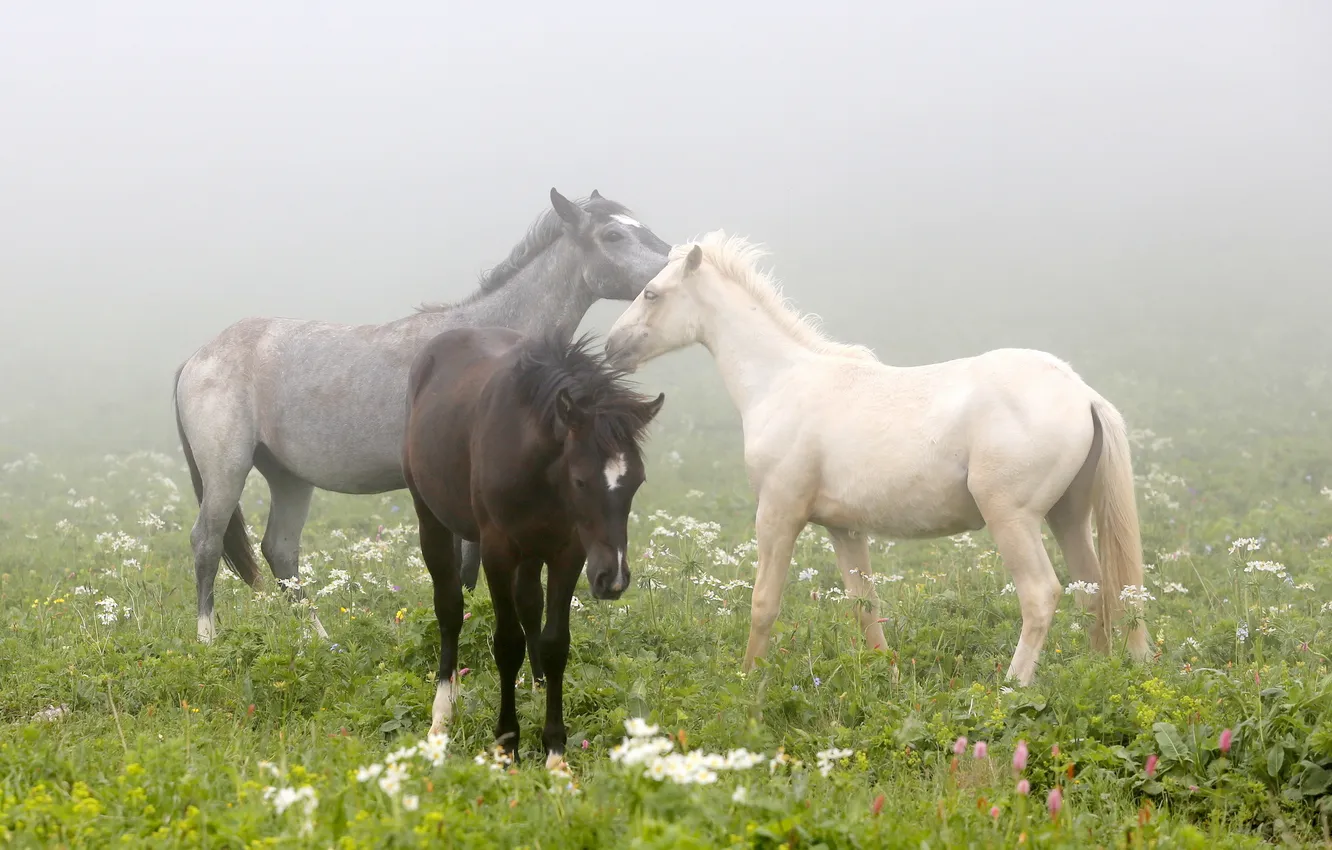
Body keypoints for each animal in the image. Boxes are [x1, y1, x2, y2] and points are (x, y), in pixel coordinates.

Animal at [173, 188, 670, 643]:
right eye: (613, 234)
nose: (672, 268)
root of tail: (198, 358)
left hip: (289, 477)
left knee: (280, 552)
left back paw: (320, 640)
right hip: (227, 470)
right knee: (207, 542)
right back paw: (207, 640)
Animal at [403, 328, 663, 769]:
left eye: (638, 480)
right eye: (580, 480)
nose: (612, 578)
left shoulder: (567, 552)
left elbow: (555, 642)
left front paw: (555, 749)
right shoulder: (497, 552)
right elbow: (507, 644)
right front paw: (507, 743)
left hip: (532, 550)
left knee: (529, 604)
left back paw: (537, 684)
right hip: (432, 520)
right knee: (450, 609)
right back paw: (442, 713)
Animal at [604, 231, 1152, 686]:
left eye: (651, 292)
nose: (611, 347)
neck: (781, 382)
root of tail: (1083, 394)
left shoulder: (778, 515)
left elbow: (764, 604)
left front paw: (747, 682)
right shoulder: (845, 529)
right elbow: (865, 606)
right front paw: (886, 677)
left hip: (1013, 519)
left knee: (1041, 594)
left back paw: (1012, 687)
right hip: (1068, 517)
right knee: (1095, 592)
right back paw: (1095, 673)